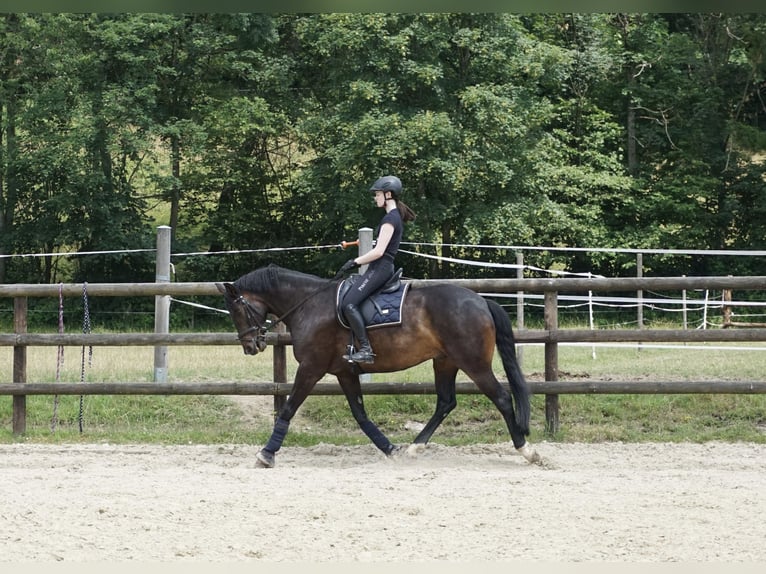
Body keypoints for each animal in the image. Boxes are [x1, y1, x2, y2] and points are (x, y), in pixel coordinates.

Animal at [217, 264, 541, 468]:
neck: (309, 304)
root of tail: (482, 301)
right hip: (445, 361)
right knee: (446, 402)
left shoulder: (311, 368)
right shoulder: (345, 372)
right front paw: (390, 449)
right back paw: (414, 448)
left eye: (236, 310)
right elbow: (360, 415)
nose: (250, 346)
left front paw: (266, 454)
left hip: (473, 362)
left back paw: (527, 451)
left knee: (501, 398)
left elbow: (288, 409)